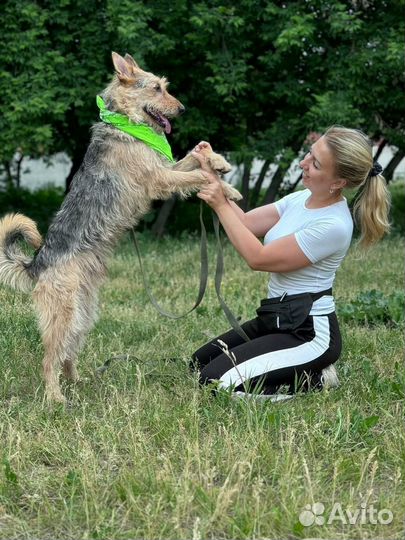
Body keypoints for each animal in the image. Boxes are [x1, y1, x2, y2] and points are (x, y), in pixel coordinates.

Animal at [0, 51, 240, 404]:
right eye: (156, 88)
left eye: (165, 86)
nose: (182, 109)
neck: (127, 123)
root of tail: (37, 263)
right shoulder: (159, 179)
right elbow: (198, 175)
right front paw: (227, 189)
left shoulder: (166, 168)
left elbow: (195, 159)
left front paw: (220, 164)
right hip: (63, 315)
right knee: (49, 359)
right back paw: (56, 399)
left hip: (83, 314)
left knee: (68, 354)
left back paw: (79, 382)